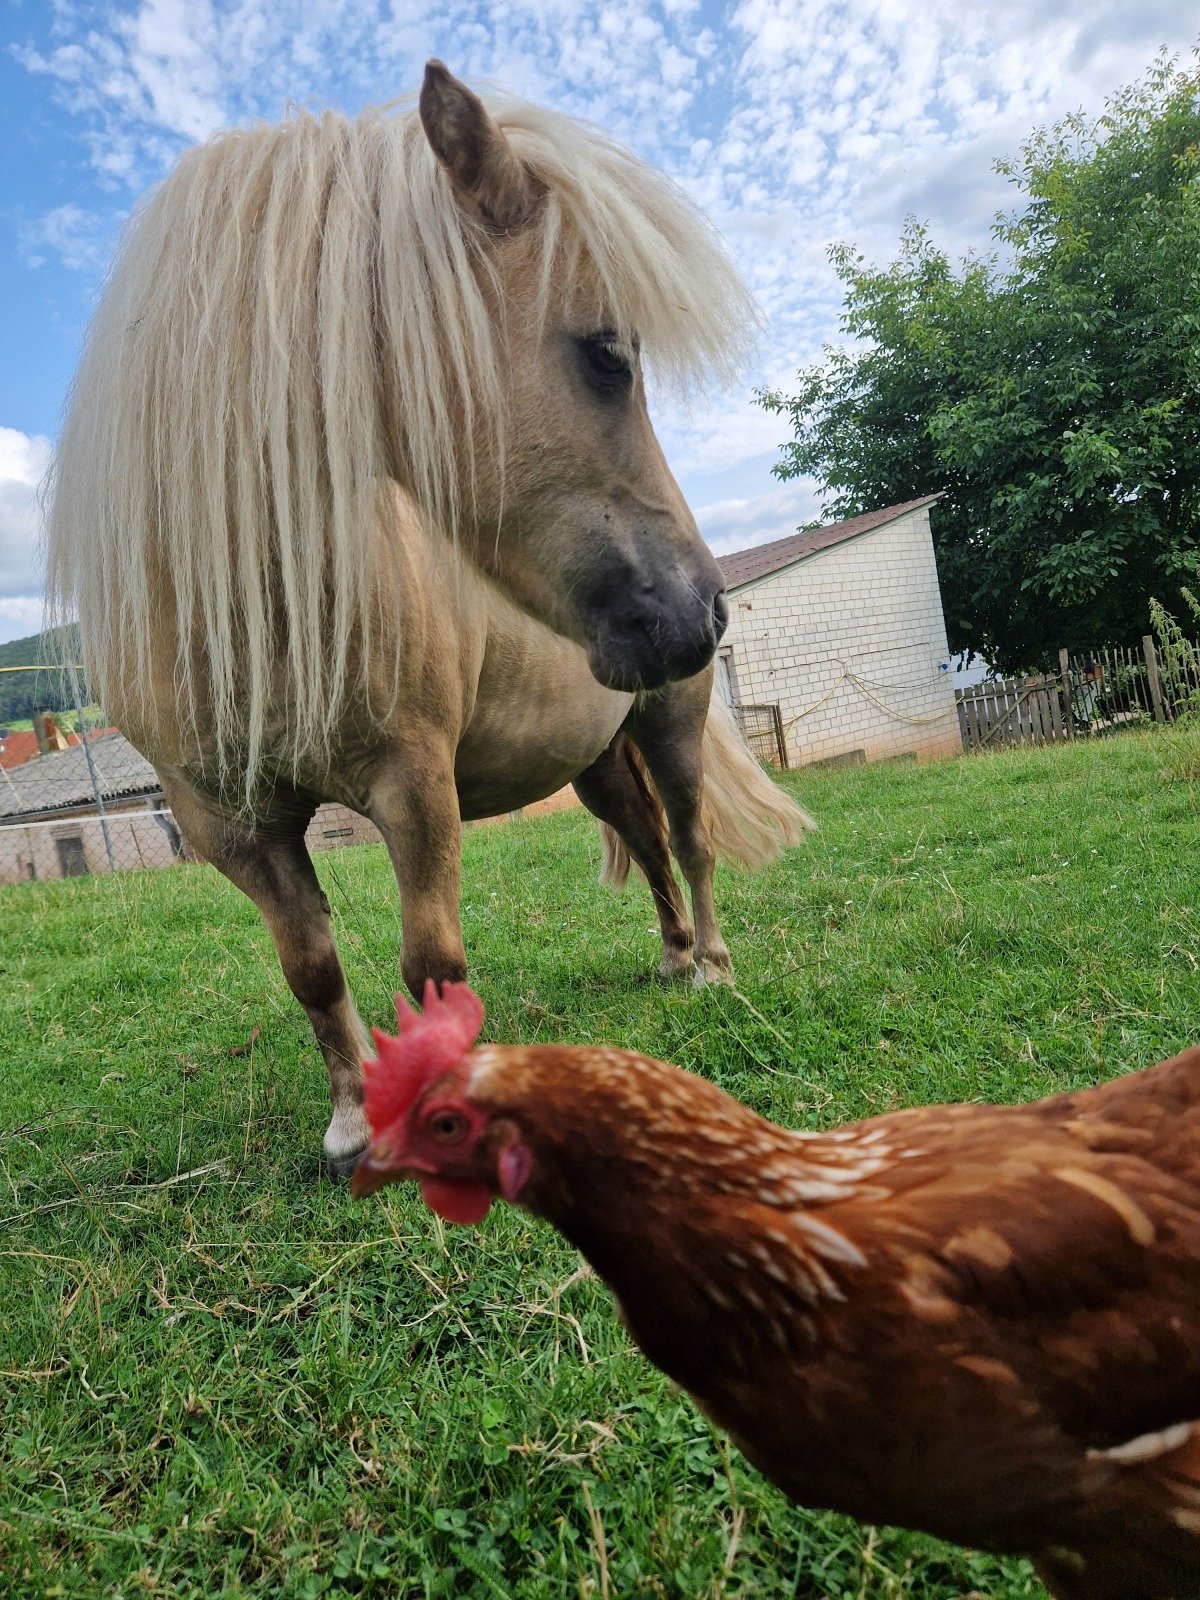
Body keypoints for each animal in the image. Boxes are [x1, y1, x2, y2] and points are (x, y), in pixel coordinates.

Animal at [46, 62, 810, 1175]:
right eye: (606, 354)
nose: (700, 603)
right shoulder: (228, 826)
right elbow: (313, 970)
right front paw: (352, 1121)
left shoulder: (413, 784)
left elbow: (431, 964)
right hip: (593, 756)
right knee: (648, 841)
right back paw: (671, 959)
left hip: (668, 722)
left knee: (690, 834)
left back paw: (711, 962)